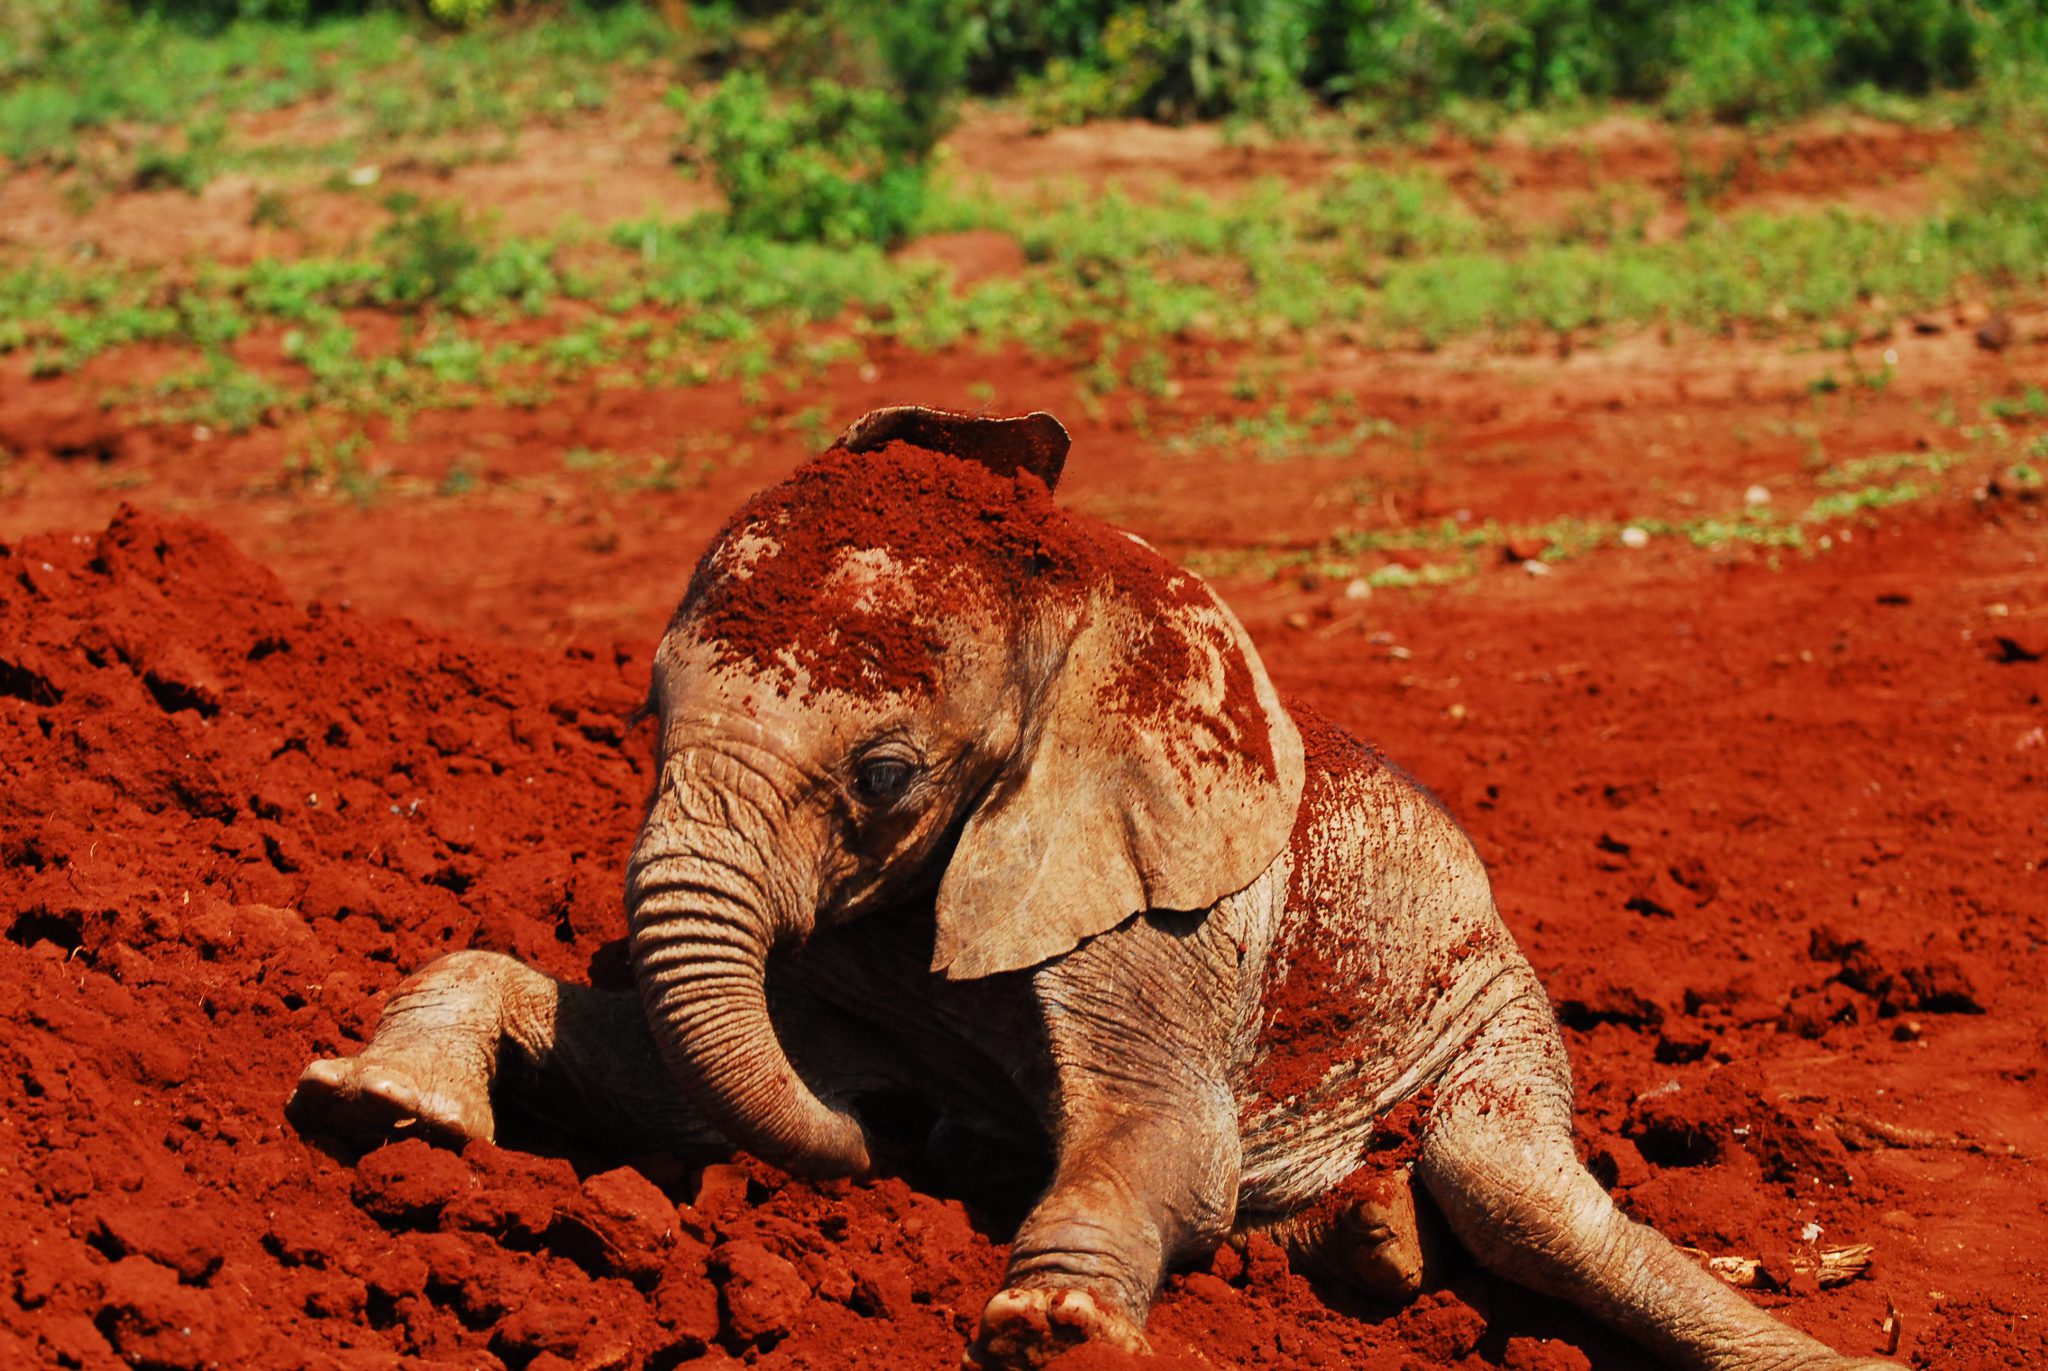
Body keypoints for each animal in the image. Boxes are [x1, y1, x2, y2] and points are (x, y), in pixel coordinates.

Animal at [288, 409, 1884, 1368]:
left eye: (884, 776)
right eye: (639, 715)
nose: (901, 1134)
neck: (1080, 602)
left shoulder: (1156, 911)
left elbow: (1169, 1139)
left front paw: (1048, 1325)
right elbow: (683, 1073)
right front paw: (385, 1109)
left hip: (1489, 1002)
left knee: (1511, 1190)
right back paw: (1367, 1243)